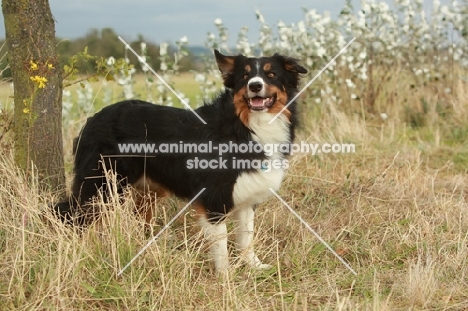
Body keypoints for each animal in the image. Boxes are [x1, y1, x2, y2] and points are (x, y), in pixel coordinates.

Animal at [54, 50, 308, 272]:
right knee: (65, 213)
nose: (255, 86)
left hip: (145, 193)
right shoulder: (214, 200)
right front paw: (225, 278)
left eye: (271, 74)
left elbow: (246, 238)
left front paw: (254, 266)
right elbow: (221, 245)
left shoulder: (247, 196)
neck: (246, 126)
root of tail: (92, 119)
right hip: (101, 186)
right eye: (244, 77)